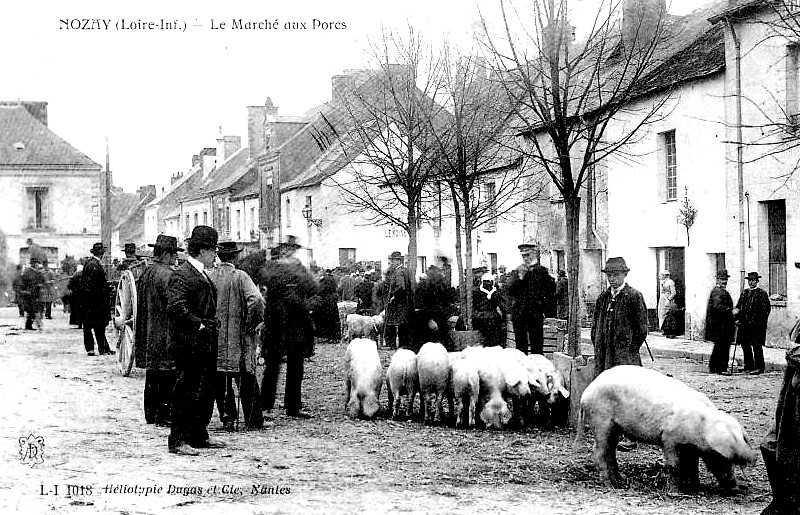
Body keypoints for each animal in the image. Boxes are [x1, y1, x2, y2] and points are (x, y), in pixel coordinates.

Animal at [576, 364, 756, 494]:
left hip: (615, 428)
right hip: (601, 422)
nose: (734, 486)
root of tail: (586, 392)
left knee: (610, 452)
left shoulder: (691, 447)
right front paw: (675, 492)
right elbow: (674, 466)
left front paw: (695, 488)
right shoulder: (670, 438)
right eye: (723, 457)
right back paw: (610, 485)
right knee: (599, 452)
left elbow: (693, 466)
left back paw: (620, 482)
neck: (701, 430)